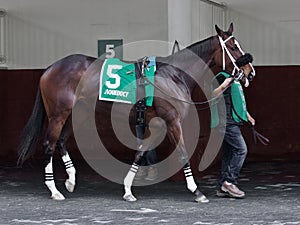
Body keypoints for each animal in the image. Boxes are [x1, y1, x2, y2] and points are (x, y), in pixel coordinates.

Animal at [17, 23, 255, 203]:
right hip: (59, 114)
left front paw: (128, 190)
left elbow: (140, 153)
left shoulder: (156, 126)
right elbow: (182, 154)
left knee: (61, 142)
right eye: (233, 47)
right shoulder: (172, 121)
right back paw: (54, 189)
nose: (249, 71)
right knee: (49, 144)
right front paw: (196, 191)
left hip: (78, 113)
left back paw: (71, 180)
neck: (173, 75)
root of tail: (50, 69)